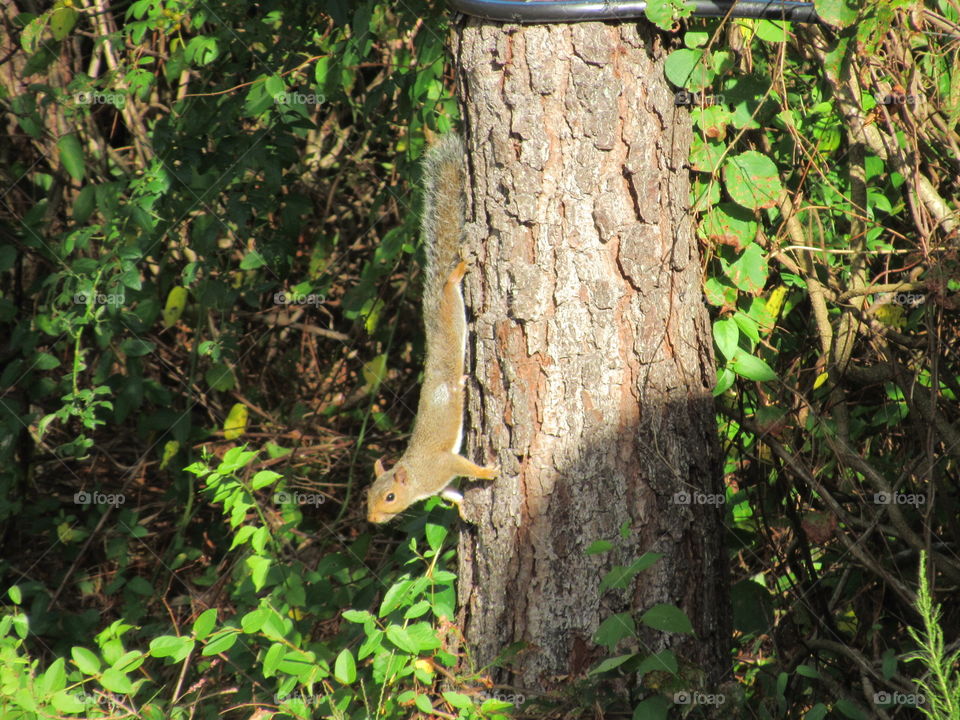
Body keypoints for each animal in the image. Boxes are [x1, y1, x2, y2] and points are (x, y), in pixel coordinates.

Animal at [366, 134, 499, 524]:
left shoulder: (442, 464)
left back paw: (457, 271)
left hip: (451, 308)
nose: (372, 520)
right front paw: (463, 507)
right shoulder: (440, 484)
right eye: (368, 494)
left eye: (390, 497)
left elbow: (464, 467)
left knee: (449, 285)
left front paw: (488, 472)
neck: (416, 478)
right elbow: (451, 494)